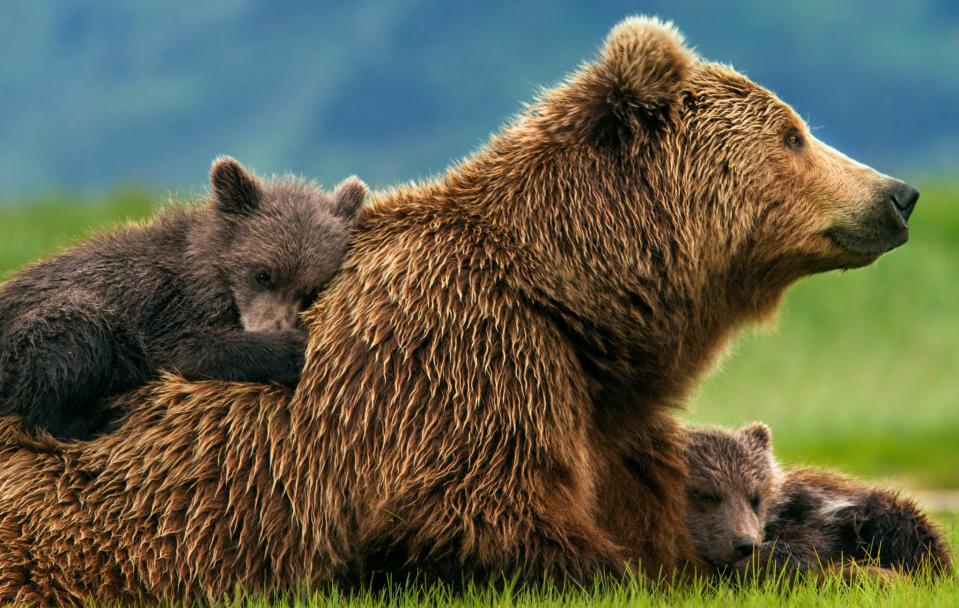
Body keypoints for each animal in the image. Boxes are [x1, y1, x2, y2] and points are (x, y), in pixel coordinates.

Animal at [0, 16, 920, 604]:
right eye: (793, 134)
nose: (899, 194)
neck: (573, 299)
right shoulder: (467, 370)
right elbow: (501, 527)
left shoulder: (597, 415)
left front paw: (852, 544)